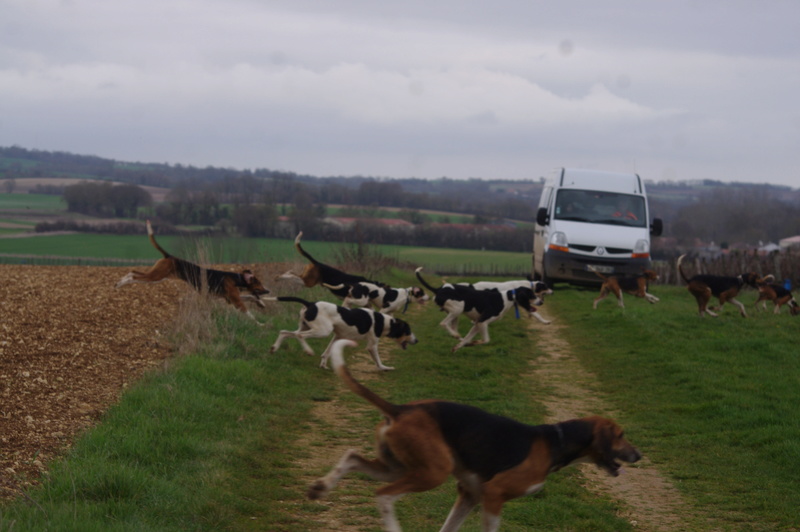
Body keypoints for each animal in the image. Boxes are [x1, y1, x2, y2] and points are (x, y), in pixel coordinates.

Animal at [114, 219, 268, 318]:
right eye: (259, 283)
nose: (268, 291)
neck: (236, 279)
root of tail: (170, 256)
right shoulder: (236, 302)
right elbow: (250, 314)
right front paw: (260, 325)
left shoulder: (229, 299)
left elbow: (250, 297)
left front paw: (260, 303)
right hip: (156, 276)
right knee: (134, 276)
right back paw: (121, 283)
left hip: (157, 275)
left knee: (133, 272)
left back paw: (119, 282)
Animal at [268, 298, 418, 372]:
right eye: (408, 331)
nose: (416, 340)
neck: (384, 322)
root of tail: (310, 304)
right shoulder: (372, 345)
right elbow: (378, 361)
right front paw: (384, 368)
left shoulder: (338, 337)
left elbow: (326, 353)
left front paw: (323, 365)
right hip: (322, 331)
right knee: (300, 336)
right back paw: (308, 351)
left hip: (306, 327)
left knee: (285, 332)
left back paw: (274, 348)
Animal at [308, 340, 644, 532]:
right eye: (621, 435)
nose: (639, 455)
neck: (555, 442)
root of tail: (401, 409)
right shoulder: (494, 495)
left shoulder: (469, 495)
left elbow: (448, 528)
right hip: (432, 472)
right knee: (384, 495)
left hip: (399, 465)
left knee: (352, 457)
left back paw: (322, 487)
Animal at [416, 268, 548, 352]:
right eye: (532, 295)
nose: (541, 302)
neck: (508, 298)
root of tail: (438, 289)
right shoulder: (483, 322)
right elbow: (486, 340)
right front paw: (474, 343)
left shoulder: (477, 324)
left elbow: (468, 339)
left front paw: (459, 347)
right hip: (458, 309)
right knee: (443, 323)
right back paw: (455, 334)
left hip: (455, 314)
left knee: (455, 331)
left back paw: (458, 337)